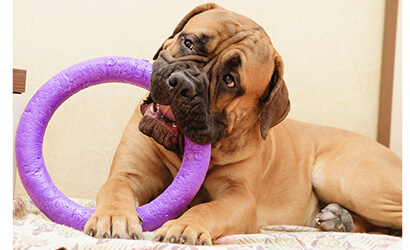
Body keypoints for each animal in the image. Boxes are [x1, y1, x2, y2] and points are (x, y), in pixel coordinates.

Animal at [83, 3, 400, 246]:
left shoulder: (239, 198)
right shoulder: (131, 173)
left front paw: (184, 226)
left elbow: (210, 209)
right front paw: (113, 218)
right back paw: (340, 220)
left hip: (340, 176)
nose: (182, 83)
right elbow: (115, 188)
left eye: (230, 81)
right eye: (188, 42)